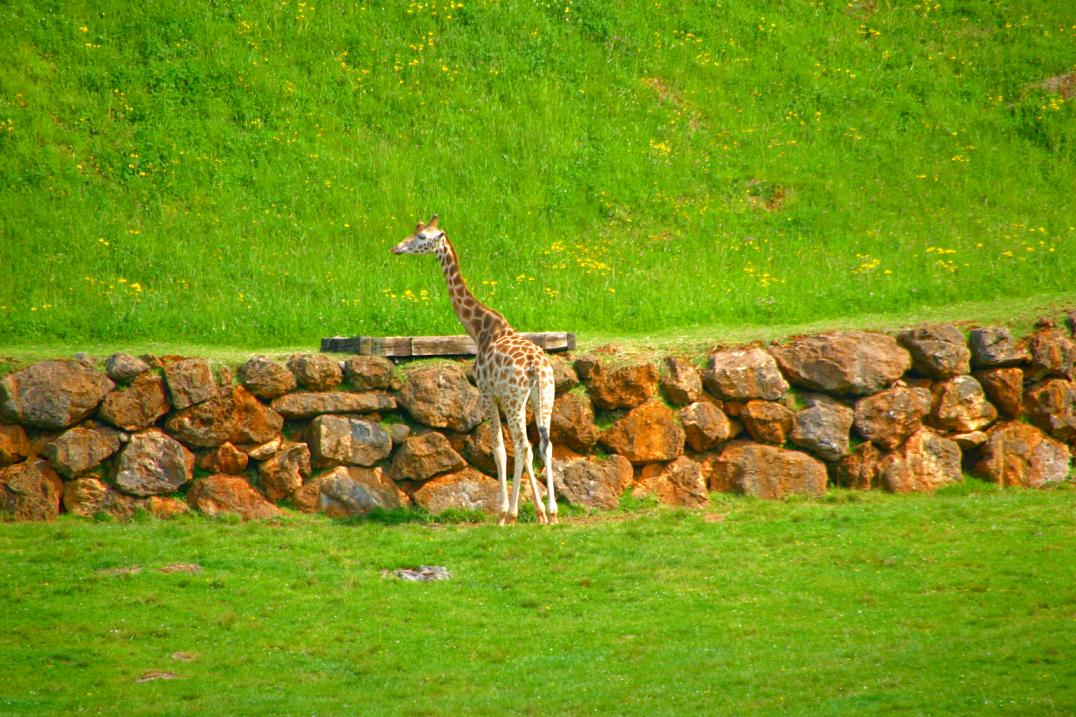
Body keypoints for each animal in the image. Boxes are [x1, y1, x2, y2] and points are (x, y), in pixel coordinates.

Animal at [395, 215, 563, 523]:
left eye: (422, 237)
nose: (396, 248)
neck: (480, 330)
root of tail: (536, 366)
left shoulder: (487, 392)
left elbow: (498, 449)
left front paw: (503, 514)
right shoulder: (504, 396)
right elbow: (516, 450)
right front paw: (532, 512)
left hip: (514, 400)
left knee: (523, 445)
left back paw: (521, 513)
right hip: (545, 396)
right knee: (544, 445)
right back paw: (552, 513)